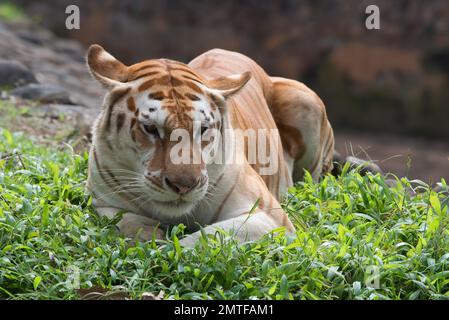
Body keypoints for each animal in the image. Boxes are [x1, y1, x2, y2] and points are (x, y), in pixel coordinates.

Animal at [86, 43, 334, 246]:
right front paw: (150, 237)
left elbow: (202, 239)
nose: (183, 186)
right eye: (150, 129)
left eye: (203, 129)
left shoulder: (269, 216)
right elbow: (128, 222)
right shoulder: (104, 204)